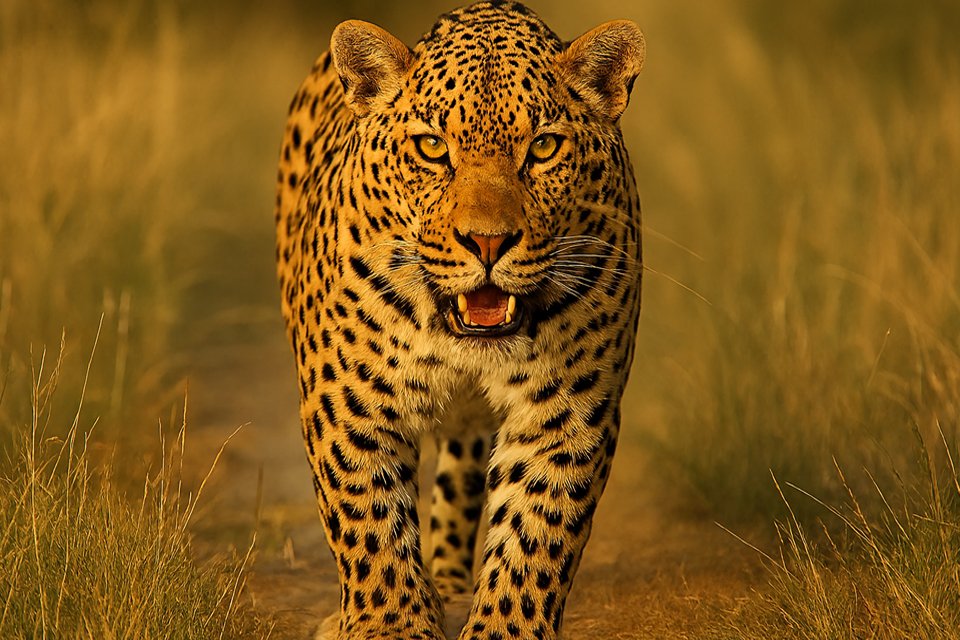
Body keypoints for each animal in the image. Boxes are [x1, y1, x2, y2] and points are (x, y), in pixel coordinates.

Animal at [275, 2, 645, 638]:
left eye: (543, 148)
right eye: (431, 147)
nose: (488, 241)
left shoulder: (565, 412)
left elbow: (535, 534)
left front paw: (504, 627)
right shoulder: (349, 401)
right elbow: (370, 520)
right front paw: (392, 625)